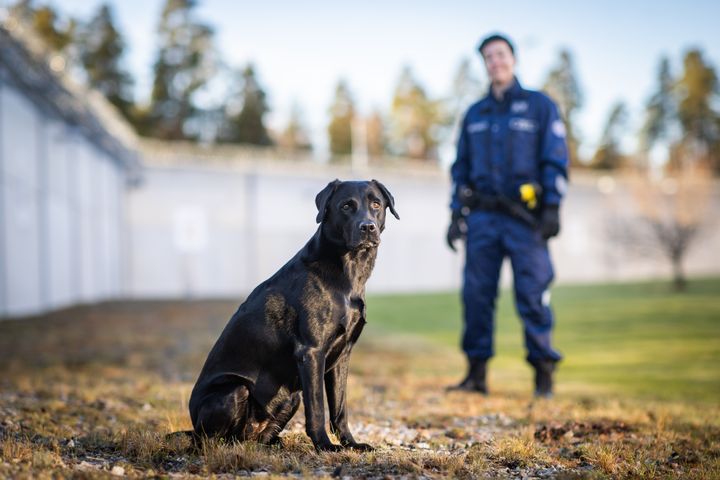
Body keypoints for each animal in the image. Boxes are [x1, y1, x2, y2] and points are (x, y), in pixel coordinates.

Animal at [187, 179, 400, 450]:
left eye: (376, 204)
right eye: (346, 206)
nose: (368, 227)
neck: (349, 270)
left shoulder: (343, 355)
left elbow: (340, 408)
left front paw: (351, 444)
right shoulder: (311, 352)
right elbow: (318, 407)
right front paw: (325, 446)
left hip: (291, 397)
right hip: (234, 390)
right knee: (214, 439)